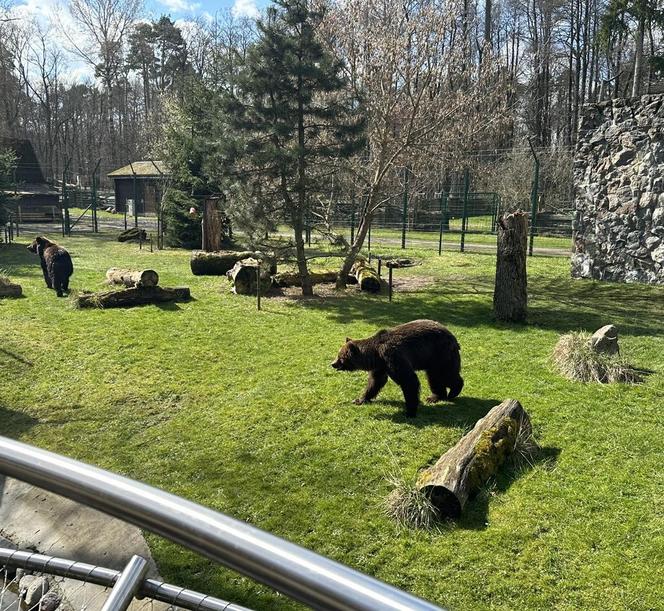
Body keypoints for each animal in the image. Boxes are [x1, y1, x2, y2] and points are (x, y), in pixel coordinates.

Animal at [330, 320, 462, 416]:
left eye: (340, 357)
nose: (332, 363)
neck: (375, 354)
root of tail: (453, 336)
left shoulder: (392, 355)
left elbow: (408, 380)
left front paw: (410, 411)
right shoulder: (381, 365)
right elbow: (375, 381)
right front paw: (360, 399)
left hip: (439, 353)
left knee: (444, 373)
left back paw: (453, 391)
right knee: (434, 378)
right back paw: (435, 396)